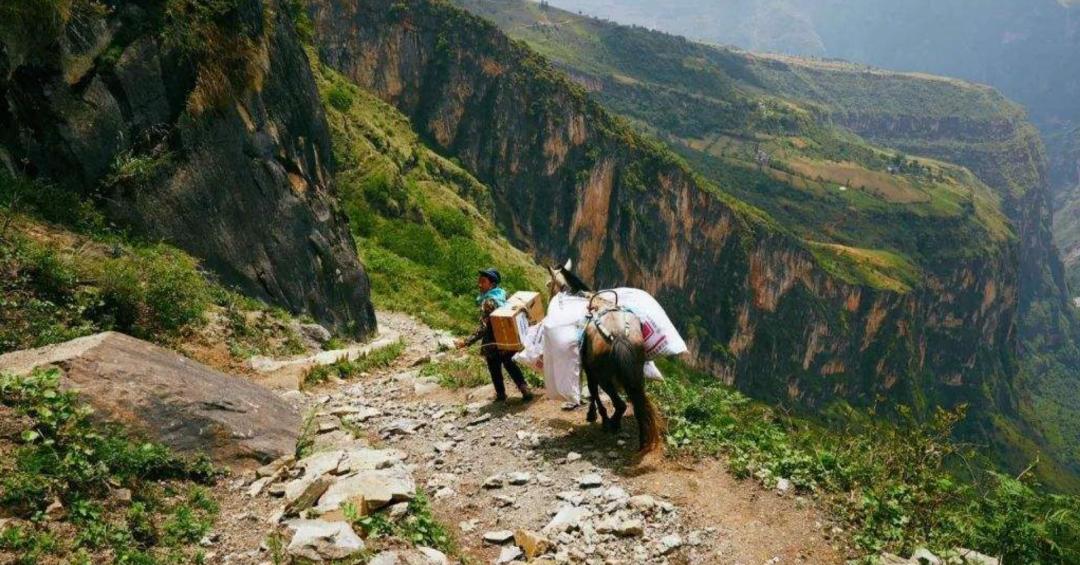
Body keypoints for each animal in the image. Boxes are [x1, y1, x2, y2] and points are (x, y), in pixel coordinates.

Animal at [544, 262, 660, 455]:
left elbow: (593, 391)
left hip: (604, 376)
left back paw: (612, 423)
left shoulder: (589, 369)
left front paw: (595, 416)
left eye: (548, 284)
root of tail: (619, 334)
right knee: (637, 404)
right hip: (636, 372)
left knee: (621, 404)